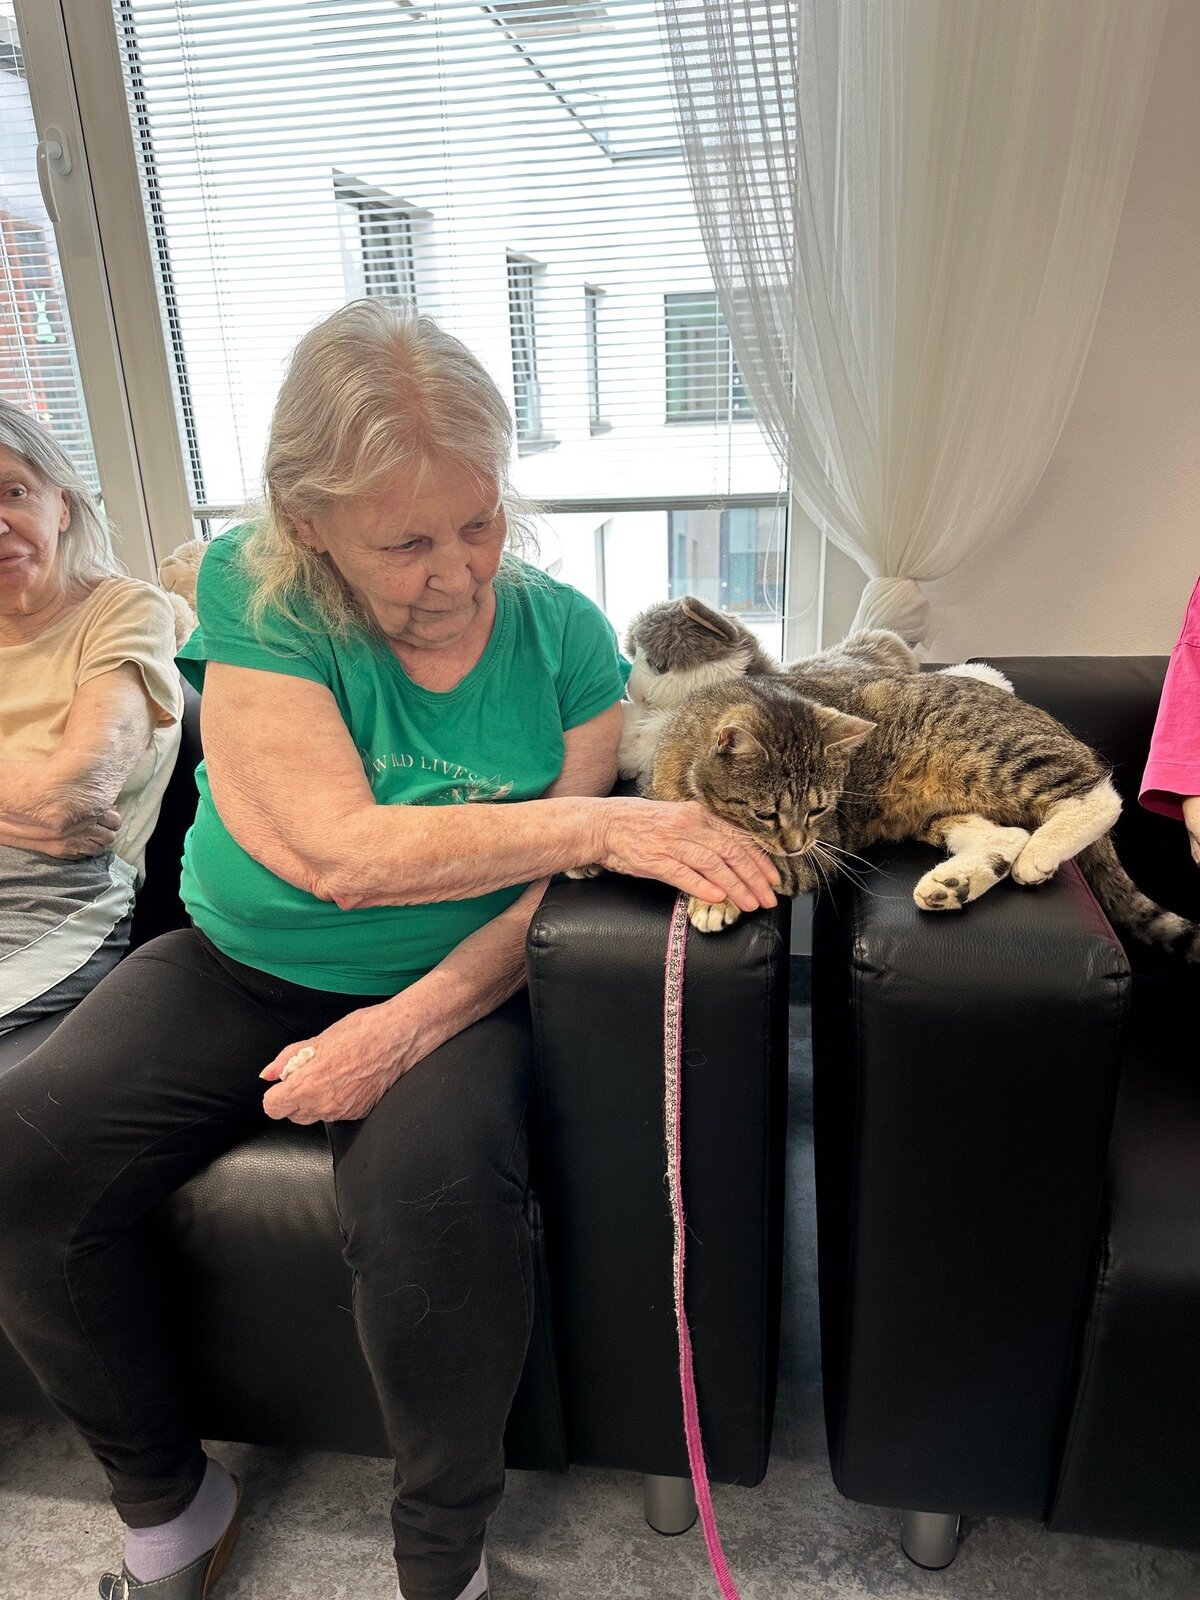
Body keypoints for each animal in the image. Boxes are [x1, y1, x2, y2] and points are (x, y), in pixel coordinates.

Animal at [647, 659, 1200, 959]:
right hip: (945, 812)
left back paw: (1042, 853)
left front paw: (714, 900)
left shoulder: (829, 845)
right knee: (1007, 837)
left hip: (998, 755)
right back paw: (954, 883)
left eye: (818, 810)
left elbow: (768, 865)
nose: (797, 841)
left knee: (1101, 793)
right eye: (766, 813)